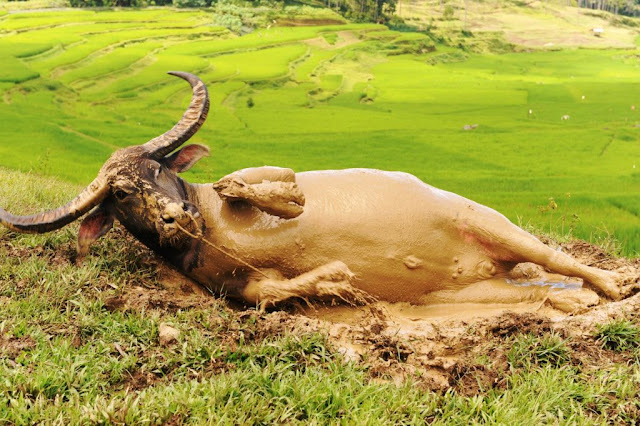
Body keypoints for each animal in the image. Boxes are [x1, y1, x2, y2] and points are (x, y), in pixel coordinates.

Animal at [0, 71, 620, 312]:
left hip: (488, 222)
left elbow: (245, 181)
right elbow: (267, 293)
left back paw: (612, 284)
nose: (176, 218)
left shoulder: (263, 173)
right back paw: (569, 301)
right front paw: (337, 280)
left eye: (154, 171)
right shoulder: (237, 287)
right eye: (122, 194)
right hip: (465, 294)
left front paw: (287, 203)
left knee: (558, 258)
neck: (209, 230)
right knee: (530, 290)